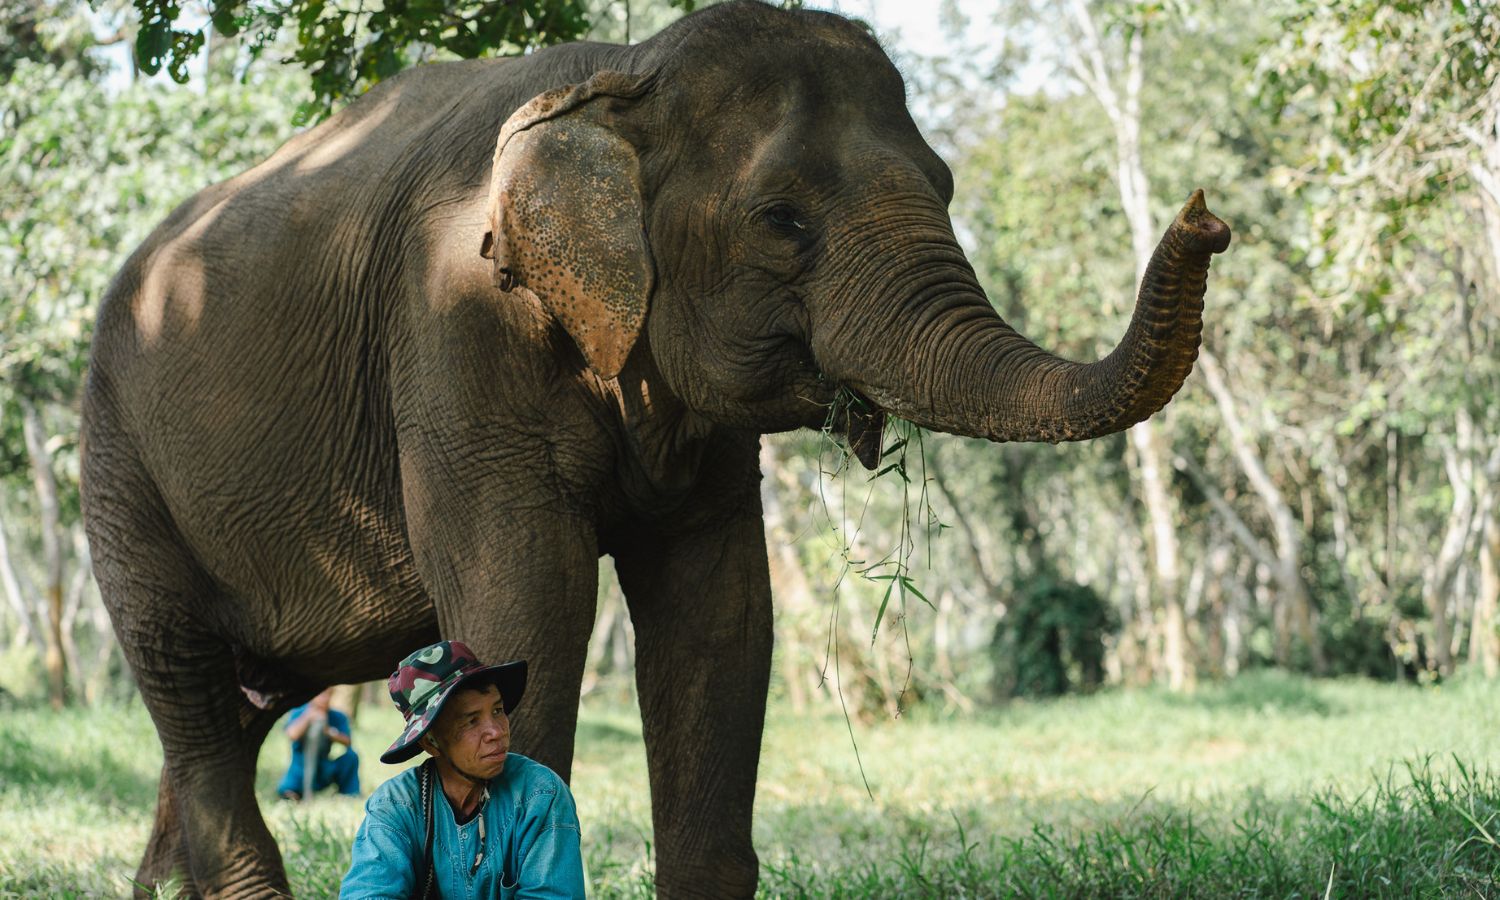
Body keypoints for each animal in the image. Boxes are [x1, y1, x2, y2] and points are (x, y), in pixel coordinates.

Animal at [80, 1, 1229, 896]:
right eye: (782, 219)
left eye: (945, 186)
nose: (1209, 215)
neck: (621, 83)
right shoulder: (455, 328)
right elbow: (527, 600)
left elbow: (719, 612)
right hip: (120, 463)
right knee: (184, 681)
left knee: (230, 713)